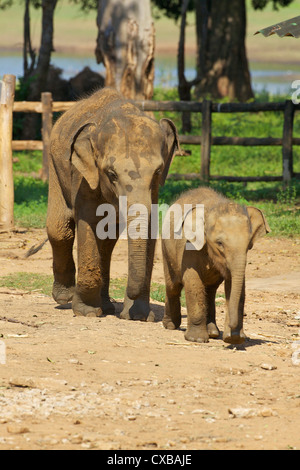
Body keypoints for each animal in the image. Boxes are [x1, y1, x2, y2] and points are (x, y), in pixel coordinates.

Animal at [46, 86, 178, 322]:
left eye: (157, 172)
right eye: (111, 174)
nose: (130, 295)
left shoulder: (153, 190)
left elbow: (149, 226)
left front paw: (139, 316)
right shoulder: (83, 174)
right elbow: (87, 221)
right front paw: (87, 312)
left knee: (107, 243)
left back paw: (106, 306)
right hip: (54, 163)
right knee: (59, 228)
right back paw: (65, 297)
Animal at [163, 187, 270, 346]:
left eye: (248, 245)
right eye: (219, 243)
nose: (233, 329)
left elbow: (235, 286)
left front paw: (234, 338)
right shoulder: (188, 247)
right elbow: (193, 282)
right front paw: (197, 339)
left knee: (210, 290)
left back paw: (213, 332)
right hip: (166, 248)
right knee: (173, 286)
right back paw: (170, 325)